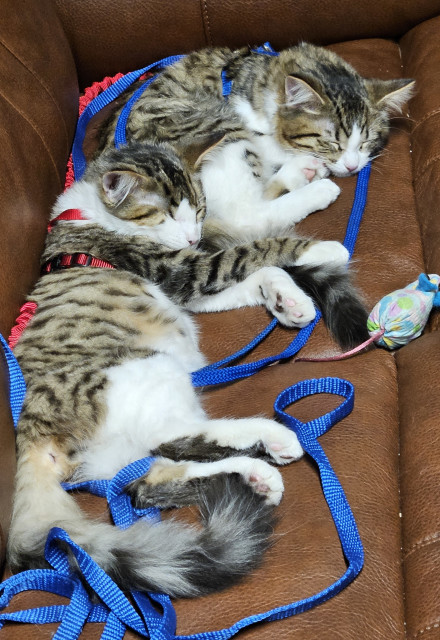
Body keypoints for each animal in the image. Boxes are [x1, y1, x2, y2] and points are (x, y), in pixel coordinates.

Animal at [8, 142, 368, 596]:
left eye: (198, 210)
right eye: (165, 215)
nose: (194, 237)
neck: (91, 214)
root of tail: (30, 433)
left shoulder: (191, 291)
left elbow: (259, 270)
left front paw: (289, 300)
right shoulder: (182, 270)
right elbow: (250, 250)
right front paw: (321, 239)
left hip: (116, 450)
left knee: (151, 483)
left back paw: (255, 474)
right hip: (141, 370)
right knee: (178, 436)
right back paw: (271, 437)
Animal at [98, 42, 414, 242]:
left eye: (366, 143)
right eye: (331, 143)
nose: (352, 167)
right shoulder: (242, 120)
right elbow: (270, 145)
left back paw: (302, 173)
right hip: (218, 127)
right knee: (247, 214)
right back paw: (317, 187)